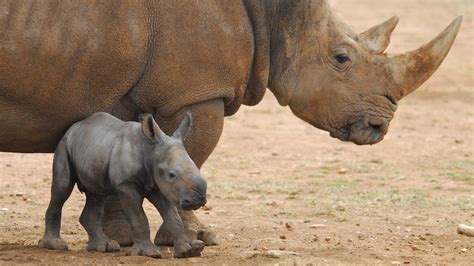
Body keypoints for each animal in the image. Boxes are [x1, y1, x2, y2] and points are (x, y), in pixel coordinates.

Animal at [37, 111, 207, 258]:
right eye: (172, 174)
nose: (198, 199)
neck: (151, 150)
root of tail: (74, 127)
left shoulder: (159, 185)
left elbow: (173, 217)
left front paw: (189, 250)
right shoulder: (126, 185)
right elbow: (139, 218)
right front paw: (149, 253)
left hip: (94, 150)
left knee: (97, 194)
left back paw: (104, 247)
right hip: (63, 145)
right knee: (62, 189)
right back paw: (55, 245)